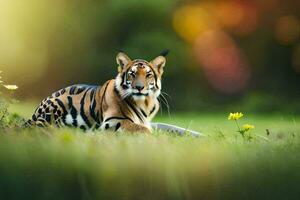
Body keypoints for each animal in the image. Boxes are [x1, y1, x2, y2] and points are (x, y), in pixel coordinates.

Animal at [24, 50, 168, 134]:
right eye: (132, 74)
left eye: (148, 75)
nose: (139, 87)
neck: (145, 102)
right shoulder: (113, 120)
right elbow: (143, 129)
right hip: (56, 106)